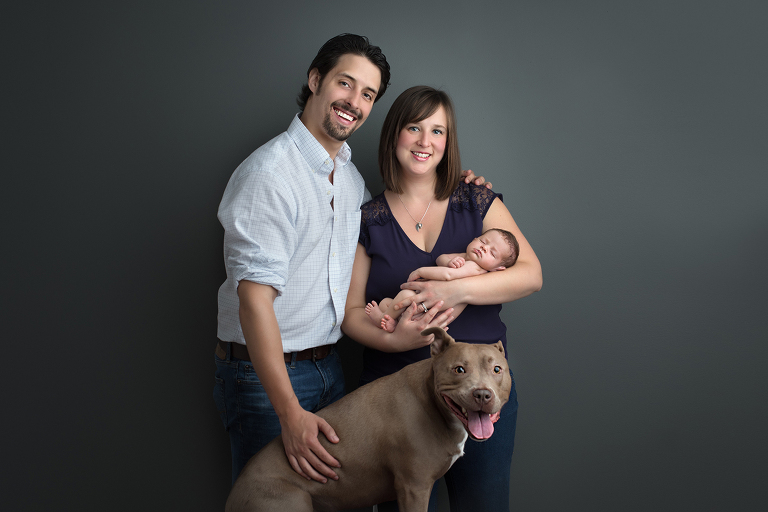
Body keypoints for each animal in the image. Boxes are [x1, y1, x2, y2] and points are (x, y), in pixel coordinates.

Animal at [225, 328, 512, 512]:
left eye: (497, 369)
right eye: (459, 369)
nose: (482, 394)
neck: (433, 401)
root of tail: (235, 490)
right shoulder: (414, 487)